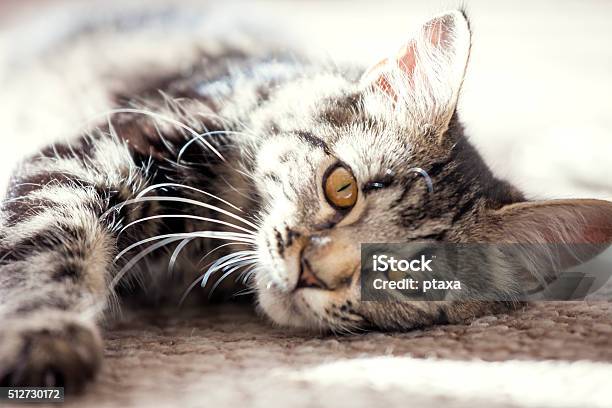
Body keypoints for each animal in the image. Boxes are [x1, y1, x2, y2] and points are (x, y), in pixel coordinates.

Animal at [1, 7, 612, 392]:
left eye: (410, 272)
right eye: (342, 186)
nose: (315, 271)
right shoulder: (100, 155)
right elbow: (50, 245)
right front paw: (44, 337)